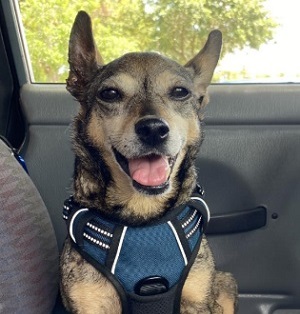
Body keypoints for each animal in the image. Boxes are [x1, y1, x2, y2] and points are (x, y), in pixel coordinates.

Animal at [59, 10, 238, 314]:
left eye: (180, 92)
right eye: (109, 94)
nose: (153, 129)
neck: (144, 215)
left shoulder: (198, 299)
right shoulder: (89, 302)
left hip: (225, 283)